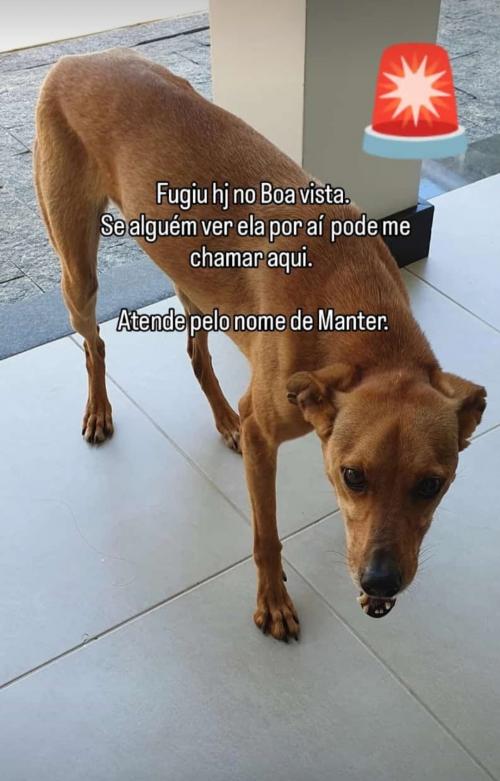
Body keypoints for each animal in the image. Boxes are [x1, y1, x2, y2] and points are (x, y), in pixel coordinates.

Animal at [34, 48, 486, 640]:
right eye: (354, 476)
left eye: (432, 485)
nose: (381, 583)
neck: (357, 311)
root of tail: (75, 59)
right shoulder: (266, 436)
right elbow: (266, 534)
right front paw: (272, 599)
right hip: (79, 273)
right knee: (94, 345)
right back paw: (101, 409)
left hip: (194, 277)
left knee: (197, 354)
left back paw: (225, 417)